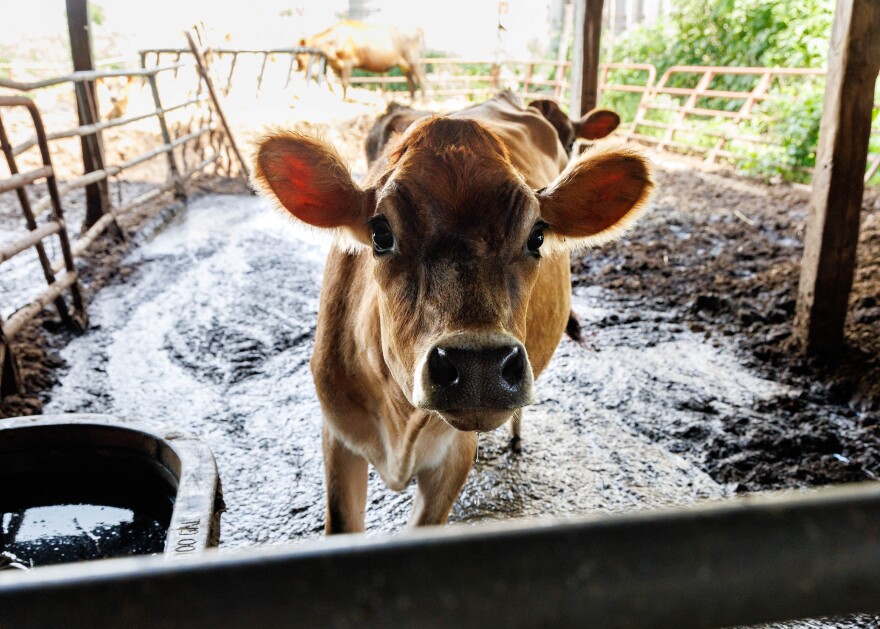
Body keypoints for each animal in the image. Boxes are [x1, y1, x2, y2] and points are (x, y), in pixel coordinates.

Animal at [253, 91, 653, 533]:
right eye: (380, 233)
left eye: (537, 236)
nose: (479, 366)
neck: (399, 427)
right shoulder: (338, 438)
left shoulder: (455, 454)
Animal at [297, 21, 426, 100]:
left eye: (300, 55)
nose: (298, 70)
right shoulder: (335, 65)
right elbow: (331, 82)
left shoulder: (348, 62)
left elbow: (345, 82)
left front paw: (345, 99)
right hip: (404, 64)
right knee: (411, 81)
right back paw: (412, 100)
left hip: (413, 58)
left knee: (422, 78)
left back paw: (423, 100)